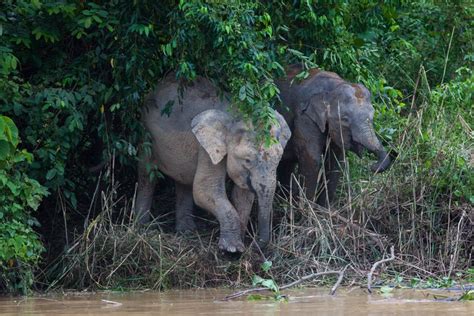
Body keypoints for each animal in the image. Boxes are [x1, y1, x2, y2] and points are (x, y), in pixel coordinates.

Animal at [131, 73, 290, 253]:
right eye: (248, 160)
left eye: (278, 159)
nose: (255, 245)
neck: (236, 114)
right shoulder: (205, 150)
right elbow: (205, 190)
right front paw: (231, 250)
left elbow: (242, 195)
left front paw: (240, 246)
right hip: (145, 133)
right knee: (146, 175)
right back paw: (143, 228)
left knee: (184, 181)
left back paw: (186, 232)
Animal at [276, 65, 390, 206]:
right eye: (345, 119)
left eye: (372, 117)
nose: (372, 166)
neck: (332, 89)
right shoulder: (304, 118)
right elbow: (312, 160)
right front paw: (306, 209)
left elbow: (335, 162)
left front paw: (324, 209)